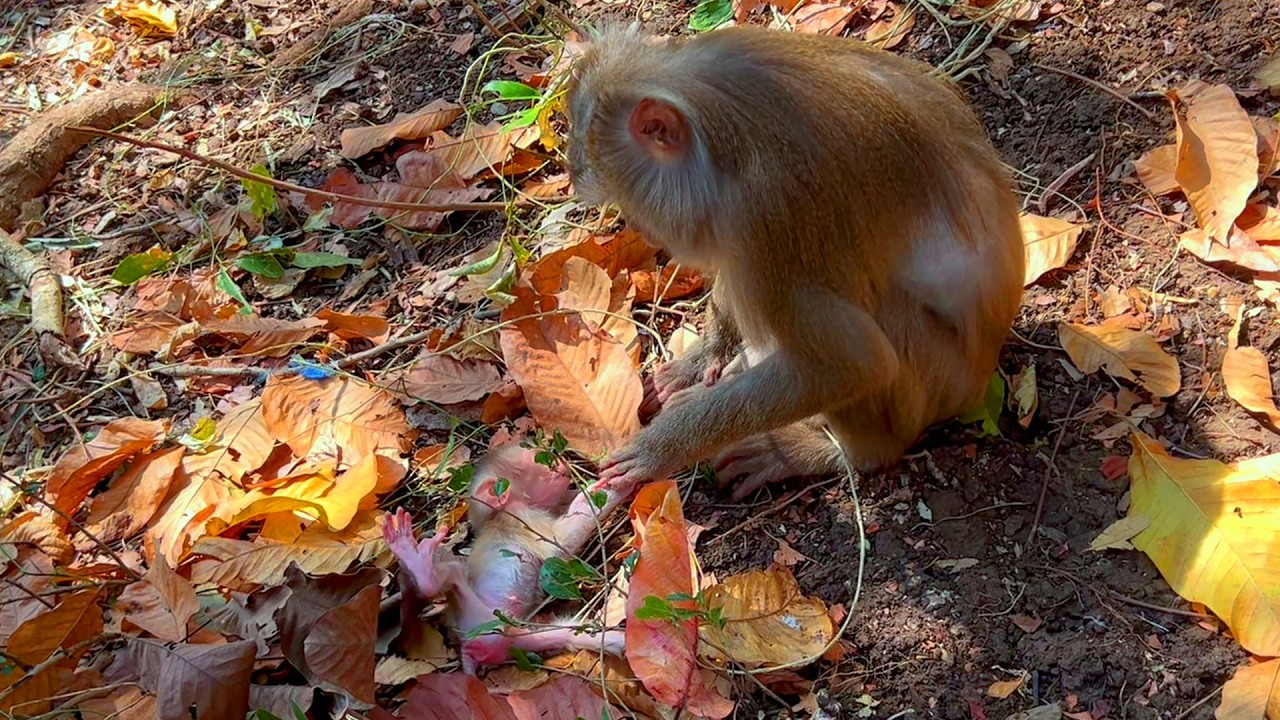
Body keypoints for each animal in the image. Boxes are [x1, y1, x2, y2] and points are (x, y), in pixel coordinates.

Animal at [565, 25, 1025, 499]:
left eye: (628, 199)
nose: (646, 232)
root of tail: (982, 377)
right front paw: (707, 355)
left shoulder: (765, 212)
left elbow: (850, 365)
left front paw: (662, 448)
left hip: (937, 386)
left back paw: (825, 452)